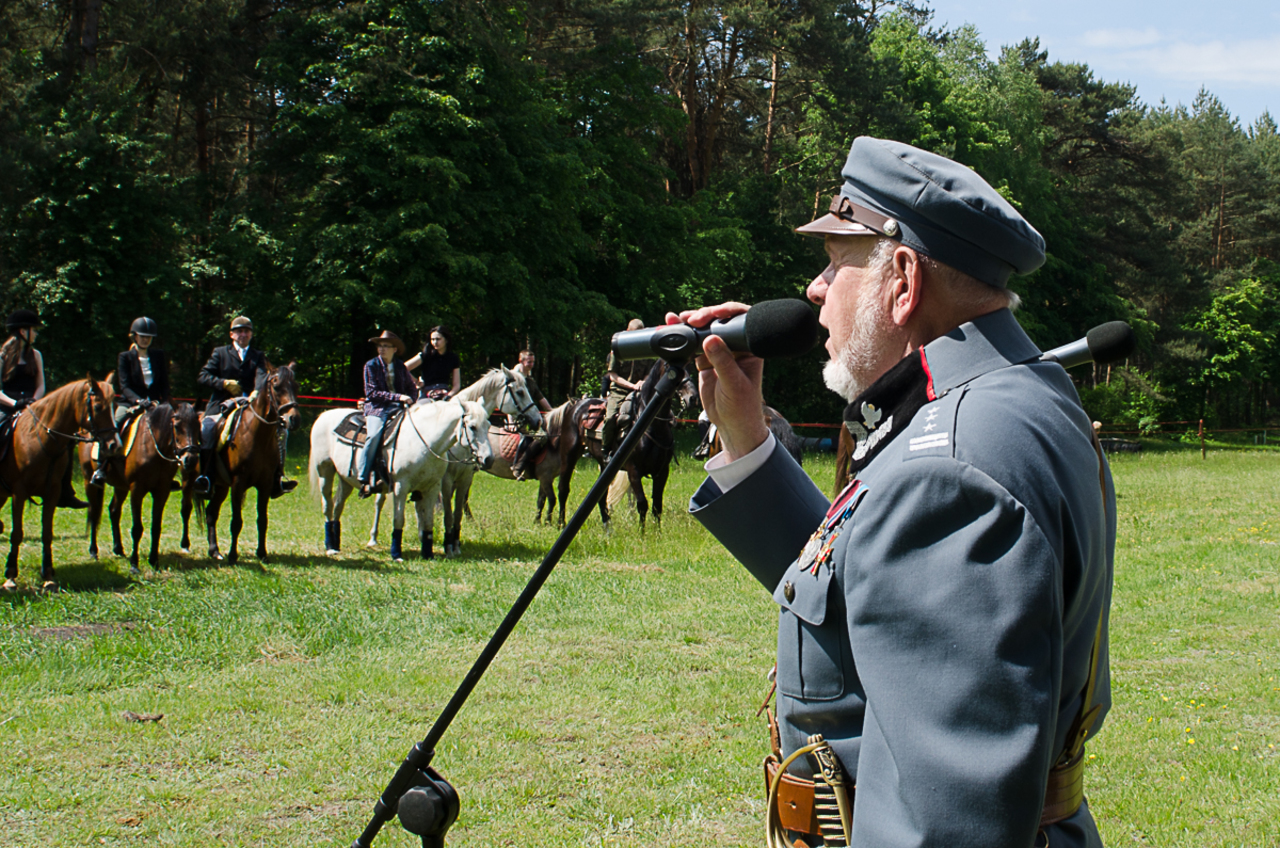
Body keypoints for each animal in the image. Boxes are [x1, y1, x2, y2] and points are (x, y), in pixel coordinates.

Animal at [0, 379, 119, 591]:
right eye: (98, 407)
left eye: (115, 406)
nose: (113, 445)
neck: (39, 440)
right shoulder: (19, 493)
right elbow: (17, 533)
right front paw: (11, 576)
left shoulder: (52, 492)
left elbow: (47, 534)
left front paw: (48, 576)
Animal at [81, 404, 199, 578]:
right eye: (177, 426)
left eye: (197, 426)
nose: (190, 459)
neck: (153, 446)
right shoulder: (137, 490)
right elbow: (137, 529)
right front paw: (134, 565)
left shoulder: (162, 491)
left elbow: (156, 527)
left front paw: (154, 561)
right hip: (89, 482)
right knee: (94, 514)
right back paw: (93, 551)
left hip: (120, 486)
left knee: (114, 510)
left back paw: (118, 549)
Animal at [181, 366, 300, 563]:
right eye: (276, 387)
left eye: (296, 386)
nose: (294, 419)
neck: (257, 435)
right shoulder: (238, 483)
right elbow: (236, 522)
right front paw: (233, 555)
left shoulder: (265, 484)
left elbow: (262, 520)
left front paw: (262, 553)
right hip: (188, 479)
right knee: (186, 508)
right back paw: (185, 545)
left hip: (221, 486)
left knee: (211, 513)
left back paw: (214, 551)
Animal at [307, 399, 491, 563]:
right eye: (472, 427)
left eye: (488, 426)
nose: (488, 459)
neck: (424, 441)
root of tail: (324, 415)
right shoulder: (401, 487)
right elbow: (399, 519)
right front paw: (396, 554)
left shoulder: (432, 488)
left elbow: (428, 520)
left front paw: (428, 553)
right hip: (325, 472)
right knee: (327, 506)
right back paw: (330, 547)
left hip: (345, 479)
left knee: (338, 506)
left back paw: (336, 544)